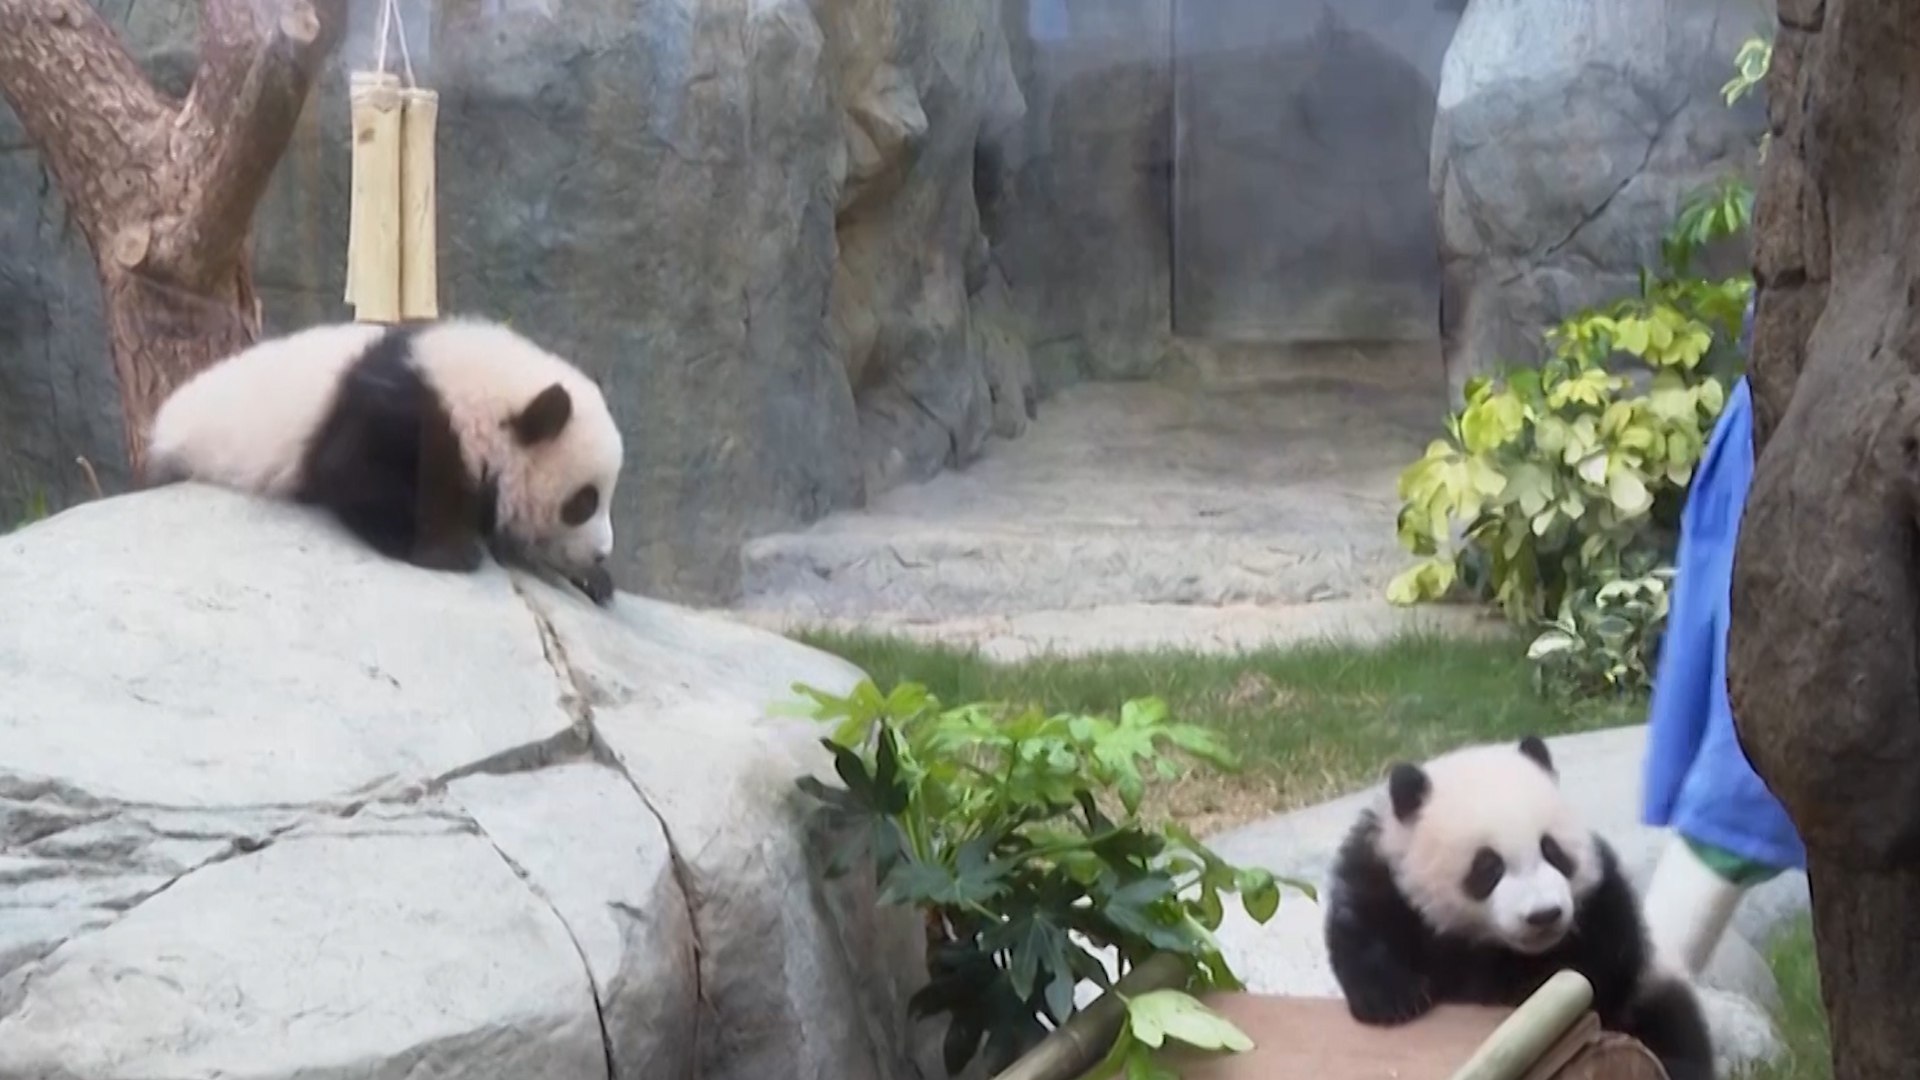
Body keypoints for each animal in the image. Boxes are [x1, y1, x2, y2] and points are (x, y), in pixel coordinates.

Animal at [146, 316, 624, 606]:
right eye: (583, 502)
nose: (603, 553)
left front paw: (592, 580)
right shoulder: (401, 412)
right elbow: (354, 471)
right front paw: (447, 549)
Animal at [1323, 736, 1715, 1080]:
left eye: (1552, 850)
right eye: (1488, 866)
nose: (1544, 915)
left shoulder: (1602, 904)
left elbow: (1599, 964)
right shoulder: (1384, 876)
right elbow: (1359, 926)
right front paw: (1396, 1000)